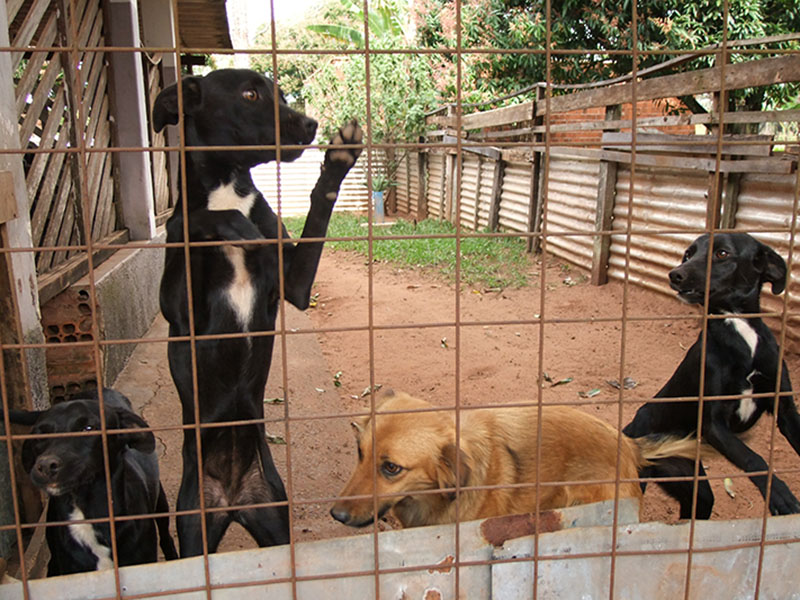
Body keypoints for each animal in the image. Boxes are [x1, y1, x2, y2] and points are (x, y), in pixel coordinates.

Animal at [8, 390, 177, 576]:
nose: (45, 466)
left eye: (88, 428)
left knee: (165, 536)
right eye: (40, 436)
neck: (87, 511)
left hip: (161, 503)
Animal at [152, 68, 364, 556]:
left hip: (275, 519)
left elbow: (318, 210)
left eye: (282, 94)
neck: (229, 185)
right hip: (193, 528)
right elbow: (194, 221)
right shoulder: (180, 311)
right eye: (249, 94)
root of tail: (233, 502)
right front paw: (233, 226)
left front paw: (338, 160)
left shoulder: (297, 286)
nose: (309, 124)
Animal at [624, 232, 800, 516]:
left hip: (693, 486)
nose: (675, 274)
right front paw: (780, 495)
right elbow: (754, 457)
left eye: (722, 253)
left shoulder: (785, 410)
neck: (740, 329)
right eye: (688, 254)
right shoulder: (714, 424)